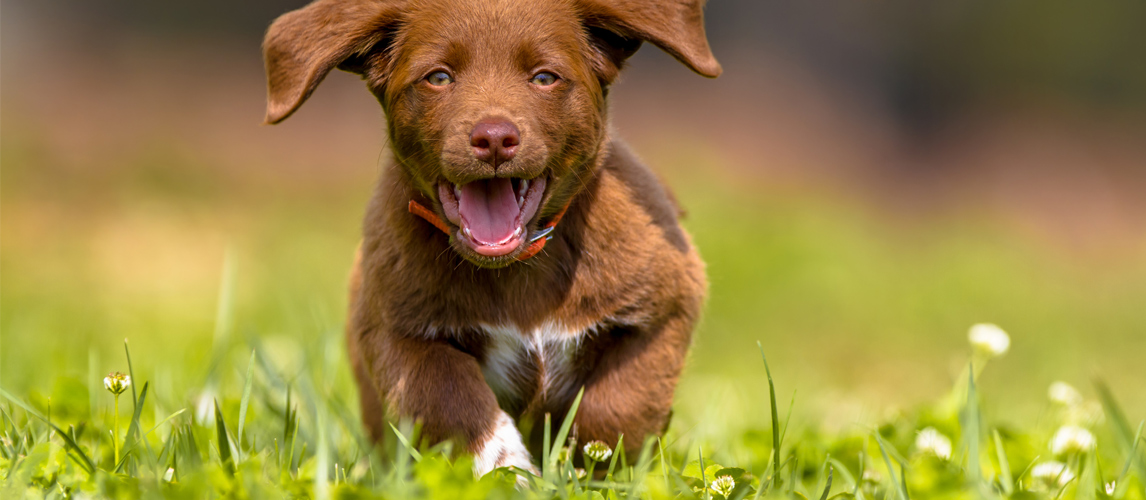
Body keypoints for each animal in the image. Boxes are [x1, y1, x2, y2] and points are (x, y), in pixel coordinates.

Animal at [263, 0, 719, 477]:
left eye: (544, 78)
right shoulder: (394, 330)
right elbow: (449, 401)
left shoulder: (667, 303)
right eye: (438, 77)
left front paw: (588, 471)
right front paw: (510, 474)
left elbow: (619, 407)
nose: (495, 138)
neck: (516, 267)